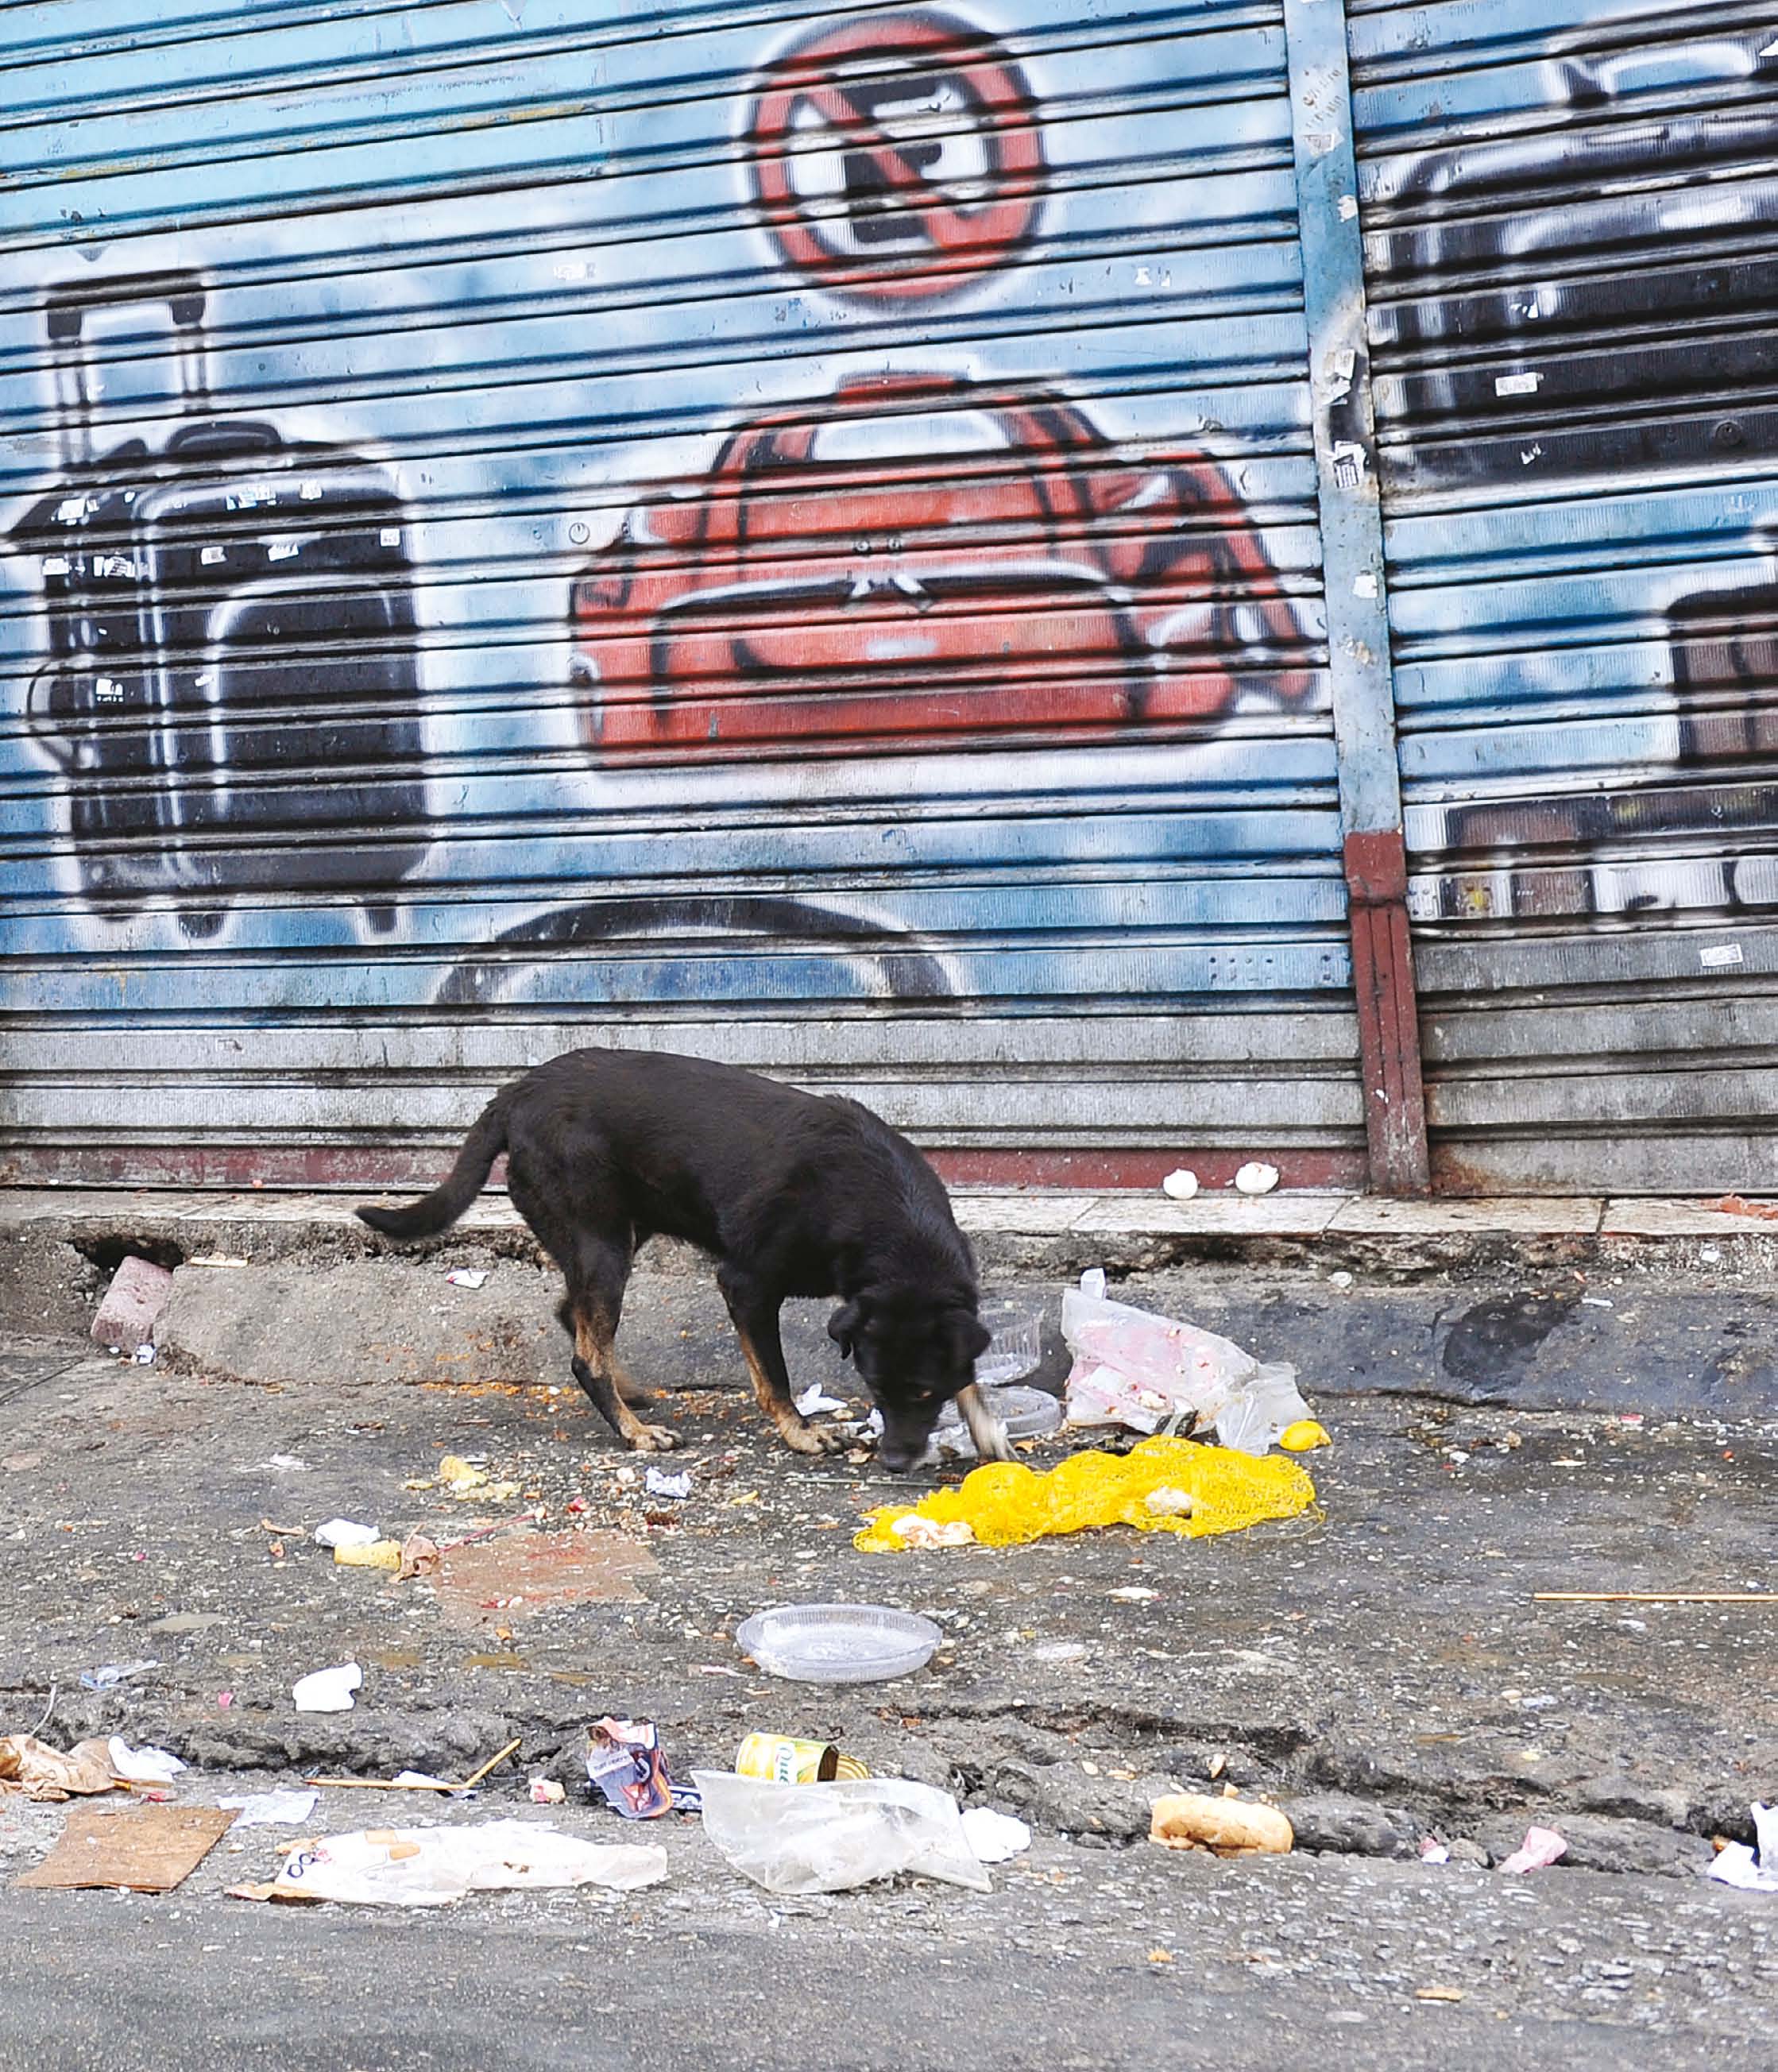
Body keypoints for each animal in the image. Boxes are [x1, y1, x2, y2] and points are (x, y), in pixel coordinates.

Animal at [354, 1052, 1003, 1475]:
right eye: (874, 1385)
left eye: (923, 1391)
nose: (894, 1463)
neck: (890, 1223)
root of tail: (515, 1091)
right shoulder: (746, 1283)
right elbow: (775, 1377)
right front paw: (800, 1432)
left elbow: (968, 1364)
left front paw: (987, 1426)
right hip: (602, 1241)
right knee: (585, 1354)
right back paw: (634, 1431)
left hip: (615, 1233)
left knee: (573, 1314)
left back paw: (627, 1392)